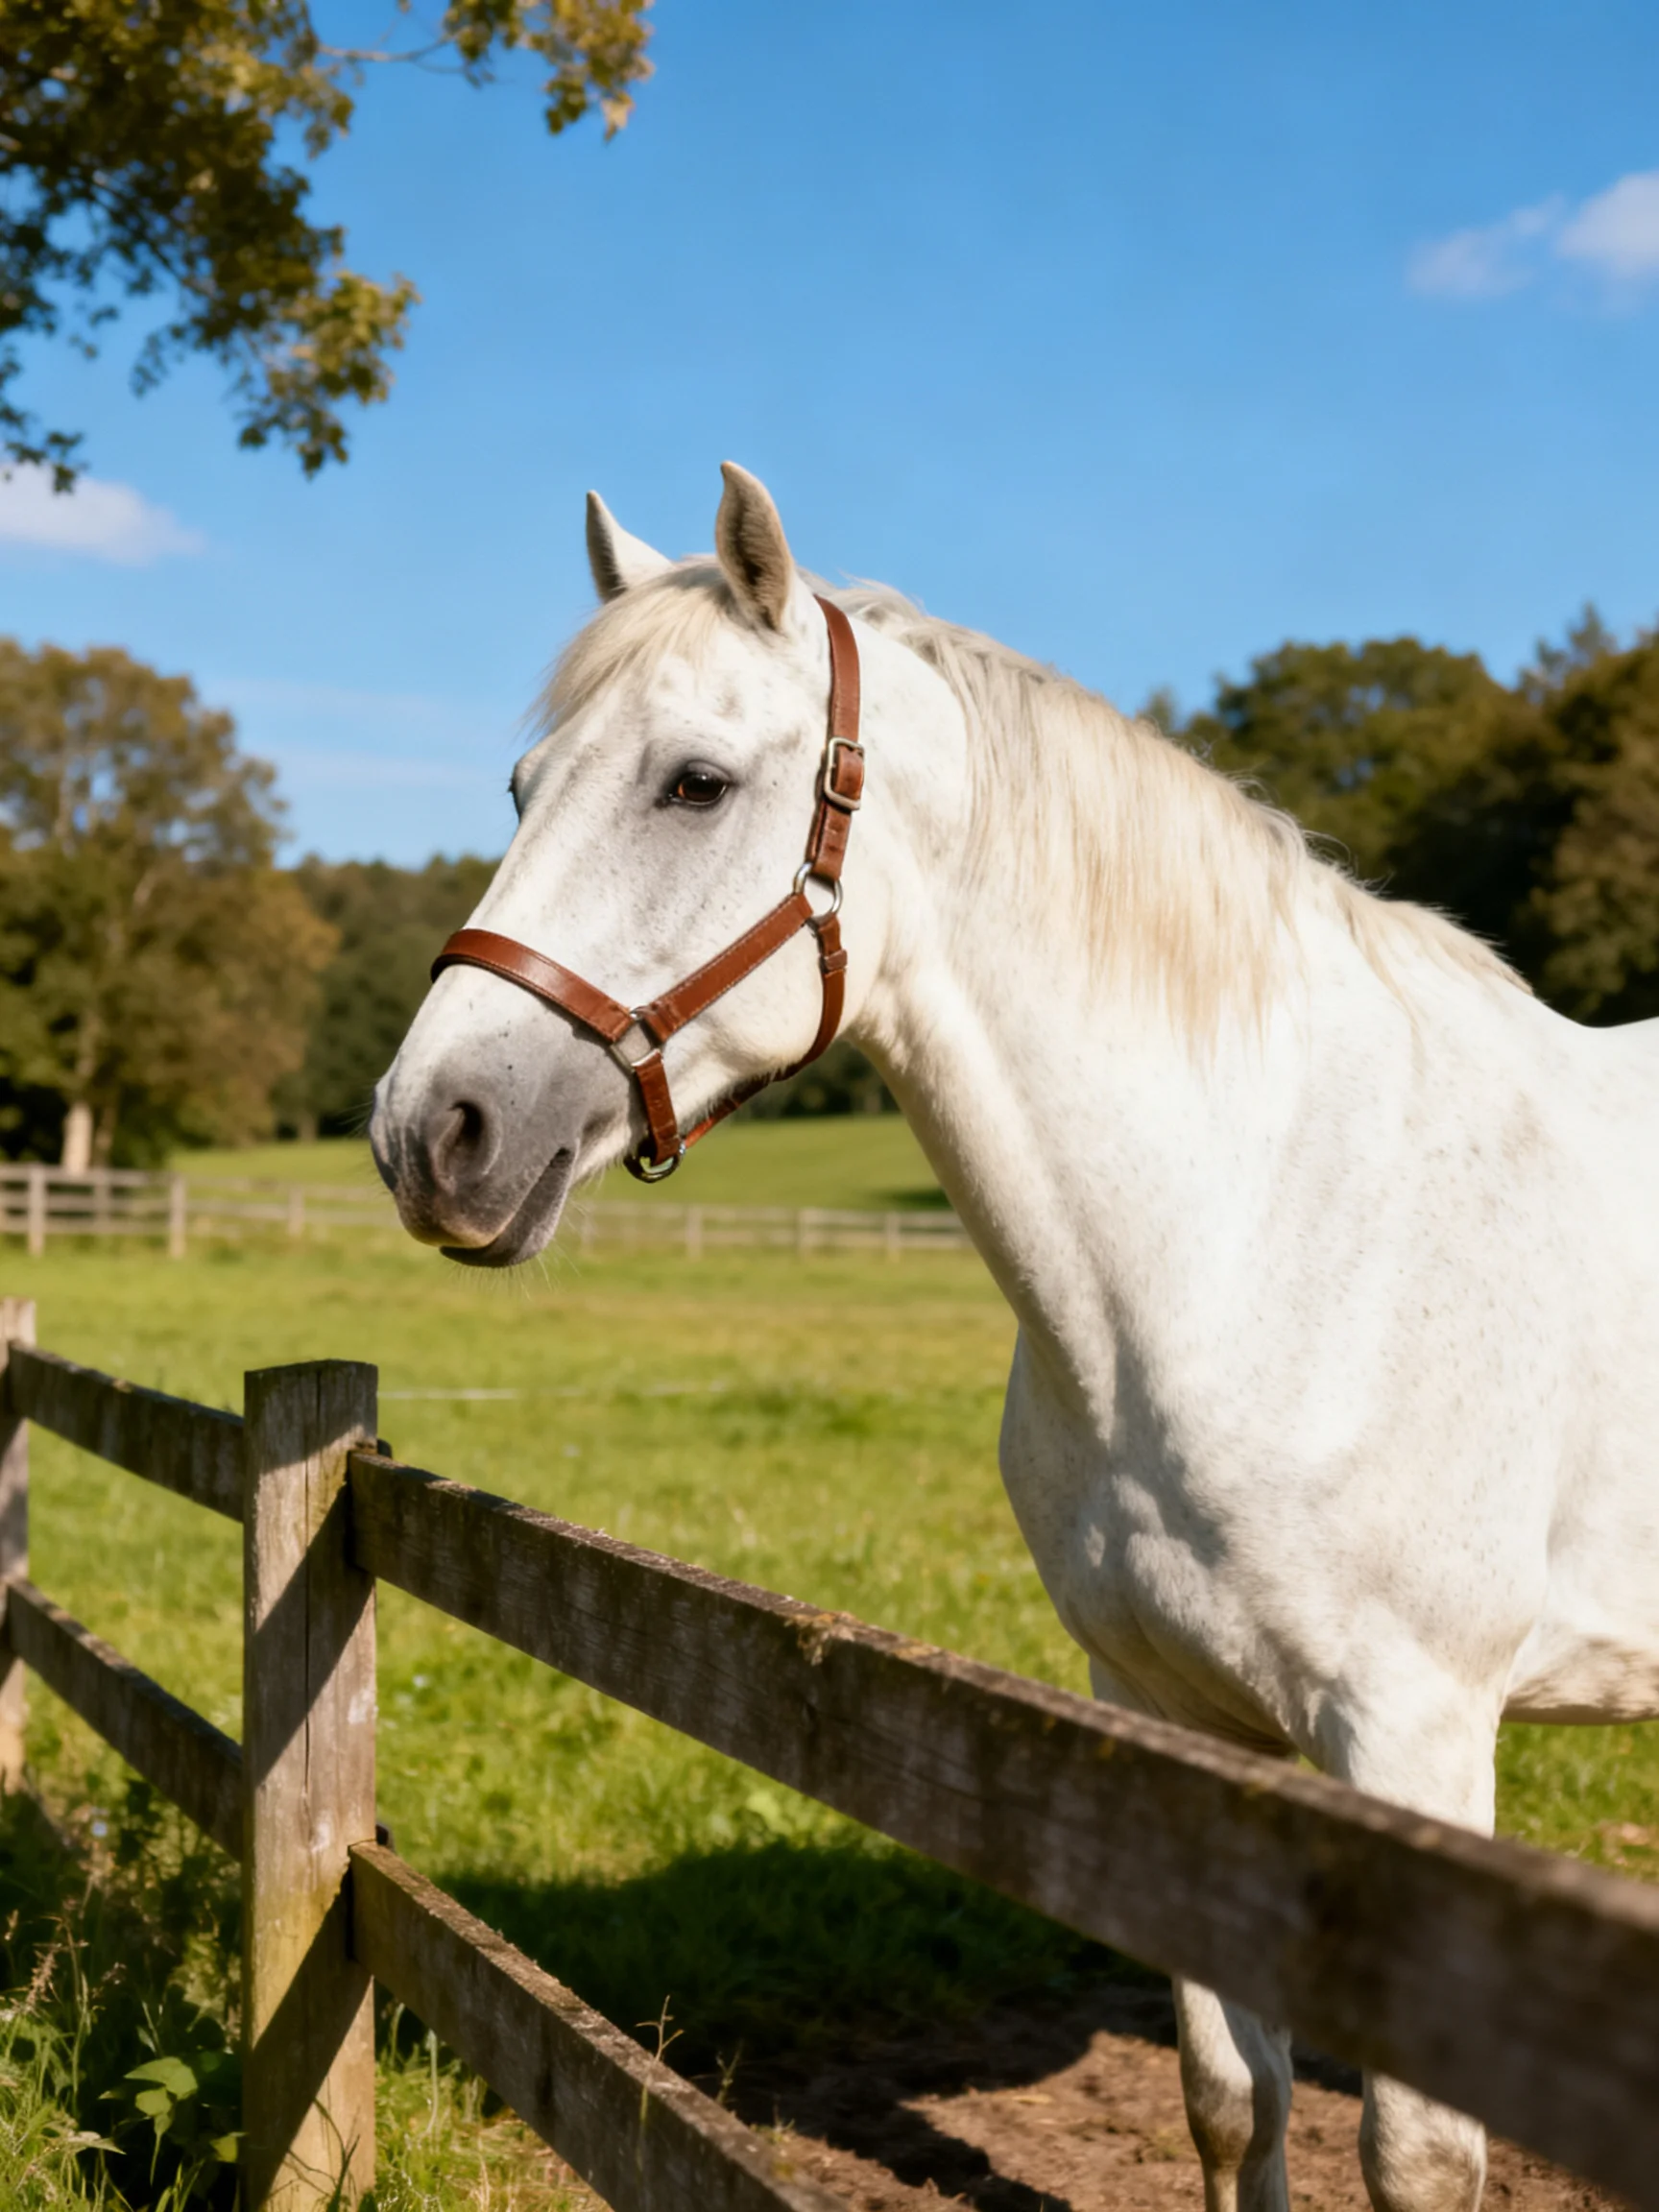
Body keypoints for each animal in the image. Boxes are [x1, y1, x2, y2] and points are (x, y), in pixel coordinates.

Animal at [370, 462, 1659, 2212]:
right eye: (520, 785)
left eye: (693, 784)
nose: (428, 1130)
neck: (1271, 1227)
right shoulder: (1165, 1716)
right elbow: (1231, 2095)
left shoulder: (1415, 1737)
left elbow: (1413, 2152)